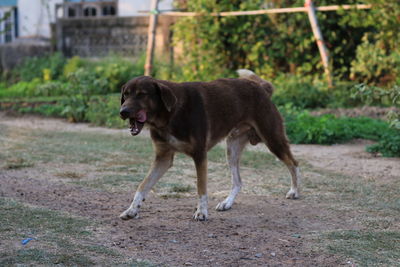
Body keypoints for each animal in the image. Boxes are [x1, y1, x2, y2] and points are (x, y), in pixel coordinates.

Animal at [119, 69, 300, 222]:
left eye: (141, 95)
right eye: (125, 95)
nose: (122, 112)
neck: (170, 115)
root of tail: (262, 88)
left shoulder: (200, 155)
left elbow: (201, 188)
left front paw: (201, 212)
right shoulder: (163, 158)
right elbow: (143, 186)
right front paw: (132, 210)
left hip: (273, 139)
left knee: (294, 163)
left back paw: (295, 191)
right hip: (232, 149)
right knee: (238, 181)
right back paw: (227, 203)